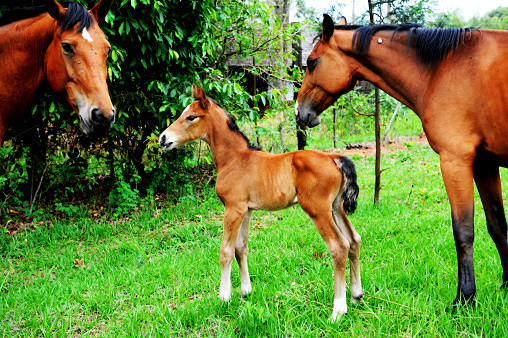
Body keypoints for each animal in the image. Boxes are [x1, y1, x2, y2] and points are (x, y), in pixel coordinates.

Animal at [159, 85, 362, 322]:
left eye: (191, 116)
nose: (163, 138)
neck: (234, 158)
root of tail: (334, 158)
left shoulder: (233, 208)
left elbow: (226, 250)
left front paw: (224, 297)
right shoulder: (246, 210)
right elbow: (241, 248)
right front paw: (245, 292)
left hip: (317, 209)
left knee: (339, 246)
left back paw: (338, 310)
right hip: (336, 207)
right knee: (354, 240)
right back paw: (356, 295)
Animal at [296, 14, 508, 308]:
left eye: (312, 62)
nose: (299, 112)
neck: (442, 69)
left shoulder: (455, 161)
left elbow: (463, 231)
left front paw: (464, 299)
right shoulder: (485, 163)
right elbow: (498, 225)